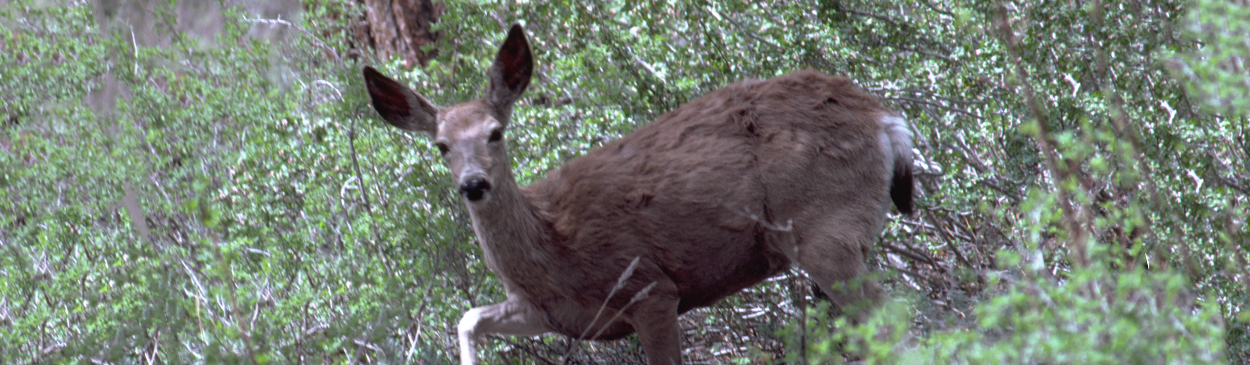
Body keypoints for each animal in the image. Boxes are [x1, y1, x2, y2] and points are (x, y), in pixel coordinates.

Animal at [365, 24, 920, 362]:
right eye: (441, 146)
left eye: (495, 133)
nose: (474, 184)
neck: (554, 247)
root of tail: (886, 121)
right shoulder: (549, 312)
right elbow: (468, 318)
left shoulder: (649, 287)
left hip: (826, 229)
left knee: (900, 327)